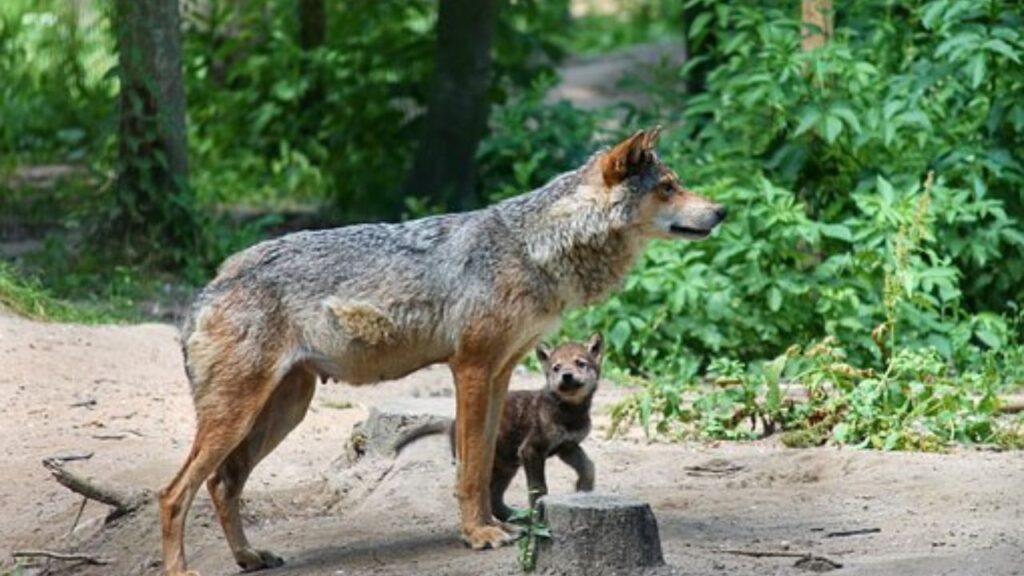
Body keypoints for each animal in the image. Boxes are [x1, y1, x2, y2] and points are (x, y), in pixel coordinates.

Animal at [159, 126, 724, 573]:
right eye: (669, 187)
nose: (722, 210)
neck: (535, 249)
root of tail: (211, 285)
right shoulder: (470, 368)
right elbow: (470, 469)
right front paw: (479, 534)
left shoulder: (499, 374)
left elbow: (484, 461)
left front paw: (495, 524)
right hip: (239, 417)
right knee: (174, 493)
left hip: (281, 414)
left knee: (222, 485)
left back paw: (249, 557)